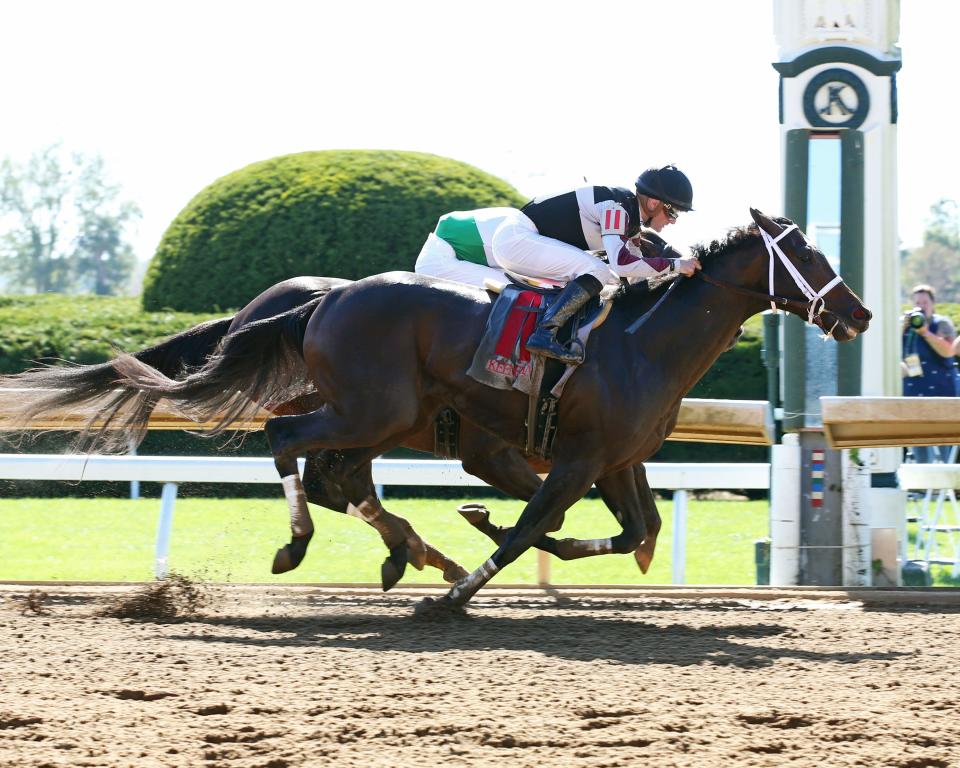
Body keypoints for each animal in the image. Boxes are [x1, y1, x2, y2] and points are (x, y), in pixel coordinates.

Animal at [99, 208, 872, 612]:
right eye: (807, 251)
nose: (859, 313)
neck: (640, 343)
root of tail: (324, 299)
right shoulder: (576, 456)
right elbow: (537, 521)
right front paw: (459, 588)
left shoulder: (616, 457)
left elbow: (635, 532)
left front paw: (476, 531)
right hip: (368, 412)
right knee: (289, 440)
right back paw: (304, 546)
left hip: (372, 418)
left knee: (330, 472)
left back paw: (400, 552)